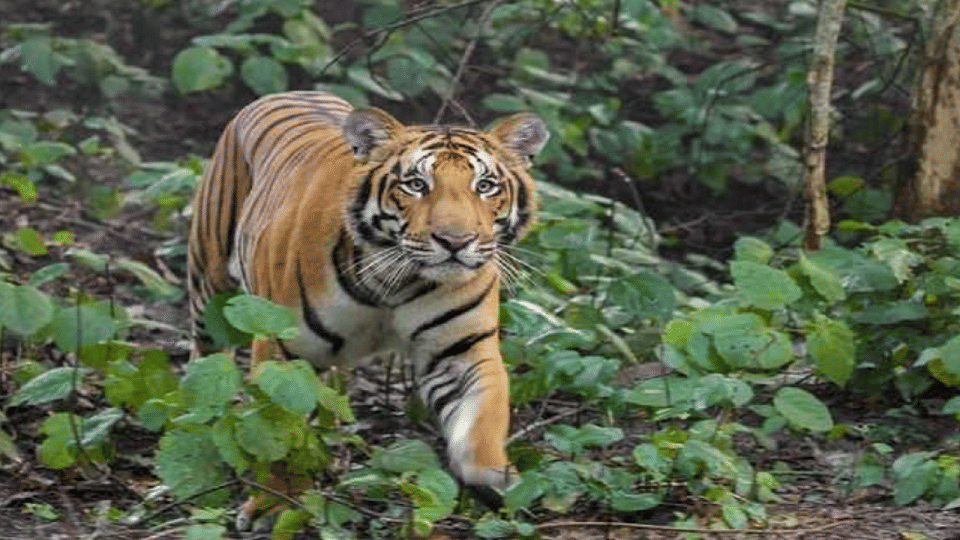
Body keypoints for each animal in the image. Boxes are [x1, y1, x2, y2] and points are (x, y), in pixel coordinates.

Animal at [186, 90, 548, 520]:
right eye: (416, 184)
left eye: (486, 185)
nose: (455, 241)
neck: (397, 281)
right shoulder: (281, 346)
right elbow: (278, 427)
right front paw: (276, 502)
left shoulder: (461, 351)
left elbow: (482, 418)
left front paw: (495, 479)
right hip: (209, 285)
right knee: (204, 355)